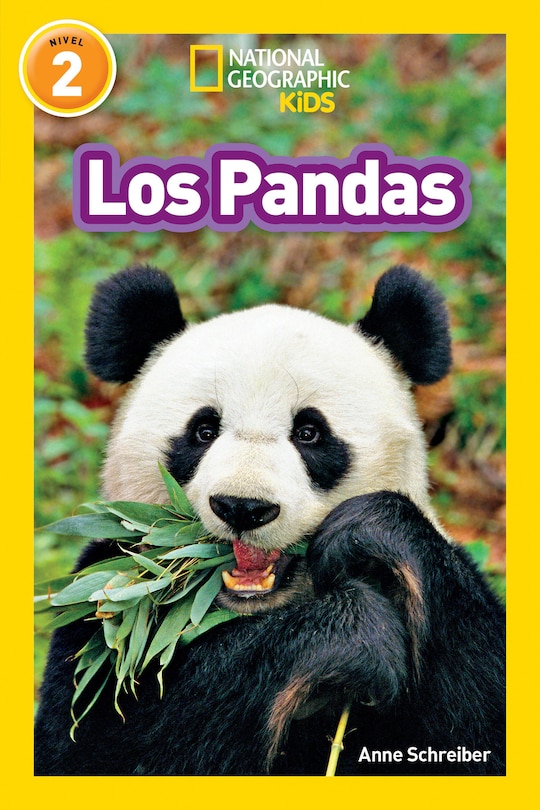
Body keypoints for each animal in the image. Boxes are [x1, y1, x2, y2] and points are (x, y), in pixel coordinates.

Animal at [34, 264, 505, 776]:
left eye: (310, 432)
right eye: (203, 430)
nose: (243, 506)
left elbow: (479, 714)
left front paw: (370, 533)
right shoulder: (108, 599)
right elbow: (104, 737)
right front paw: (352, 633)